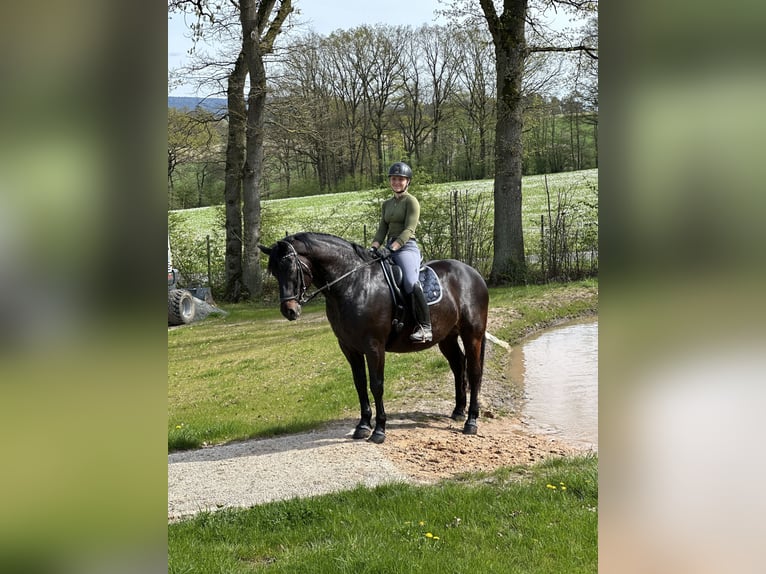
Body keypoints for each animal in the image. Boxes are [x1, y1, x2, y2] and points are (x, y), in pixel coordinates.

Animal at [262, 233, 492, 446]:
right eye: (274, 272)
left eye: (292, 268)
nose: (289, 311)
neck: (354, 284)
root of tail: (472, 273)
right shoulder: (349, 347)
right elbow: (360, 384)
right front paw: (363, 426)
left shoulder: (374, 347)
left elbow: (376, 385)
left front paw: (379, 430)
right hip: (447, 337)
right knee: (458, 365)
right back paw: (458, 411)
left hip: (472, 335)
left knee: (474, 371)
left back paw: (471, 422)